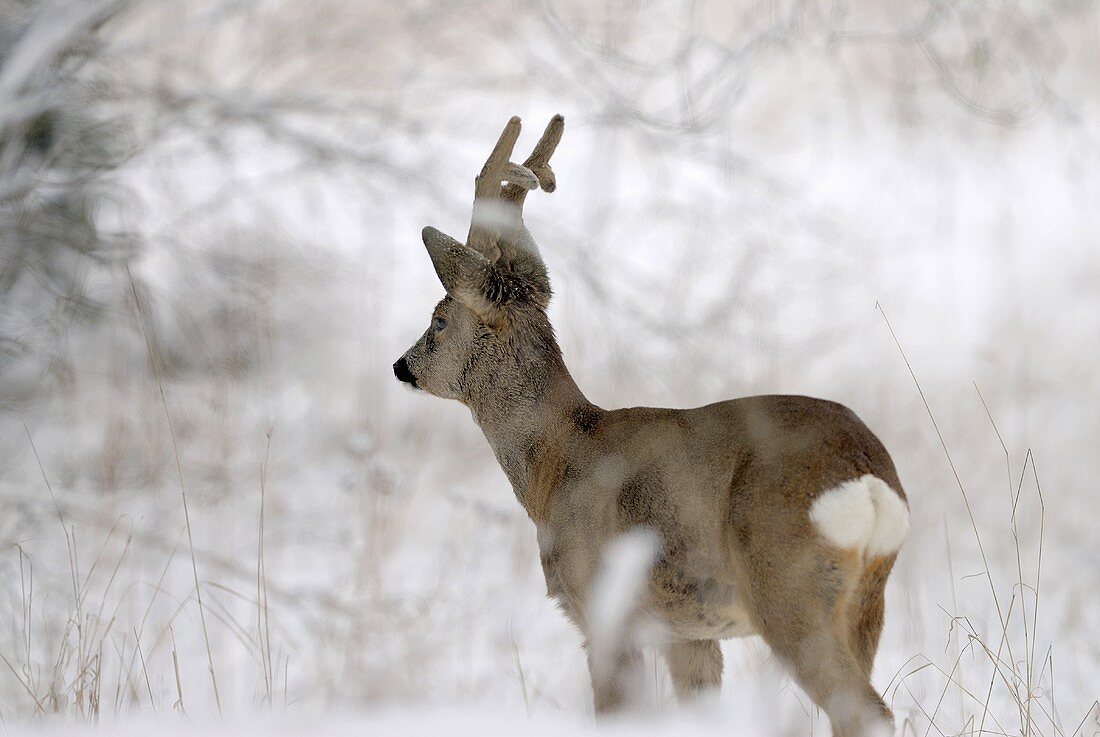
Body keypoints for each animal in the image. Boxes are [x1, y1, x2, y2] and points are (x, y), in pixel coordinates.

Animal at [396, 115, 910, 737]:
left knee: (866, 711)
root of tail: (870, 478)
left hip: (788, 584)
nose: (402, 365)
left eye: (439, 319)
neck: (556, 459)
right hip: (866, 603)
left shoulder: (604, 609)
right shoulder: (688, 633)